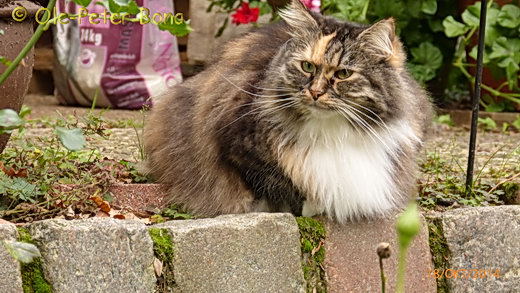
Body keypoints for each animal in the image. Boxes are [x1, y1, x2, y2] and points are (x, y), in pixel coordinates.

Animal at [144, 0, 432, 221]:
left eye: (343, 74)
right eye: (307, 67)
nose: (315, 92)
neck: (331, 132)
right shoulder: (235, 143)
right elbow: (280, 183)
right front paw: (310, 207)